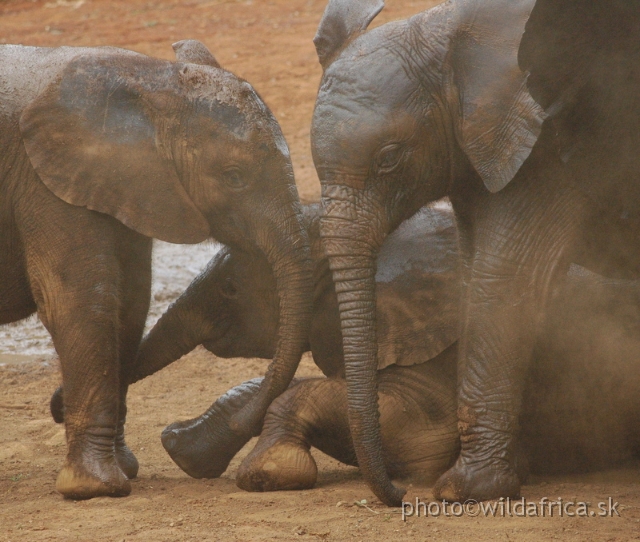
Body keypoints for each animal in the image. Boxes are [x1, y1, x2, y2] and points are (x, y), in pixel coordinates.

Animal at [1, 39, 312, 502]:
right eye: (234, 177)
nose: (55, 407)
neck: (150, 80)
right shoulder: (43, 182)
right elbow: (82, 301)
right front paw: (97, 487)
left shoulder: (126, 184)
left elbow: (132, 301)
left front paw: (124, 469)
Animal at [312, 0, 640, 506]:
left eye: (389, 157)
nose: (401, 493)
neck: (449, 39)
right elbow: (471, 275)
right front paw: (507, 475)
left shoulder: (546, 145)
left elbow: (503, 277)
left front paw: (466, 490)